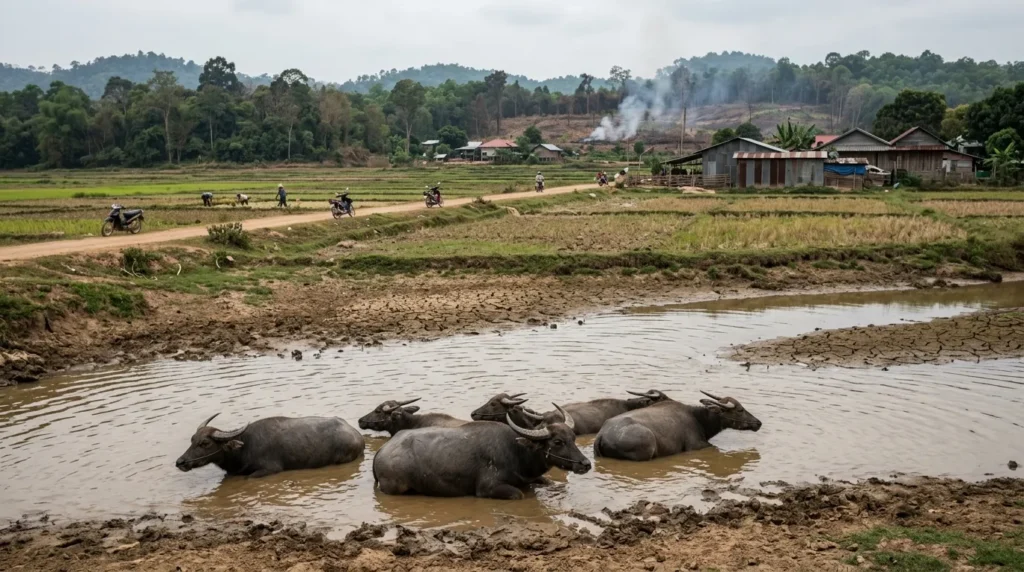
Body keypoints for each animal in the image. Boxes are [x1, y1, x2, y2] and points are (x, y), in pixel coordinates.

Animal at [175, 414, 364, 478]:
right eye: (192, 439)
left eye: (205, 443)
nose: (180, 462)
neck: (245, 446)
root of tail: (358, 436)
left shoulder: (269, 469)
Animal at [373, 404, 591, 499]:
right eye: (557, 441)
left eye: (573, 438)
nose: (586, 464)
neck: (517, 451)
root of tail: (381, 452)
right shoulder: (488, 489)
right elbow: (518, 495)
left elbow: (547, 481)